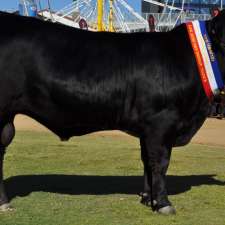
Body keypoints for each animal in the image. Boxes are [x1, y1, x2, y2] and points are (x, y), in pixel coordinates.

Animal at [0, 10, 224, 214]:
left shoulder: (147, 128)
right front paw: (163, 203)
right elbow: (160, 162)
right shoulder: (161, 122)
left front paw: (147, 198)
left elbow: (147, 162)